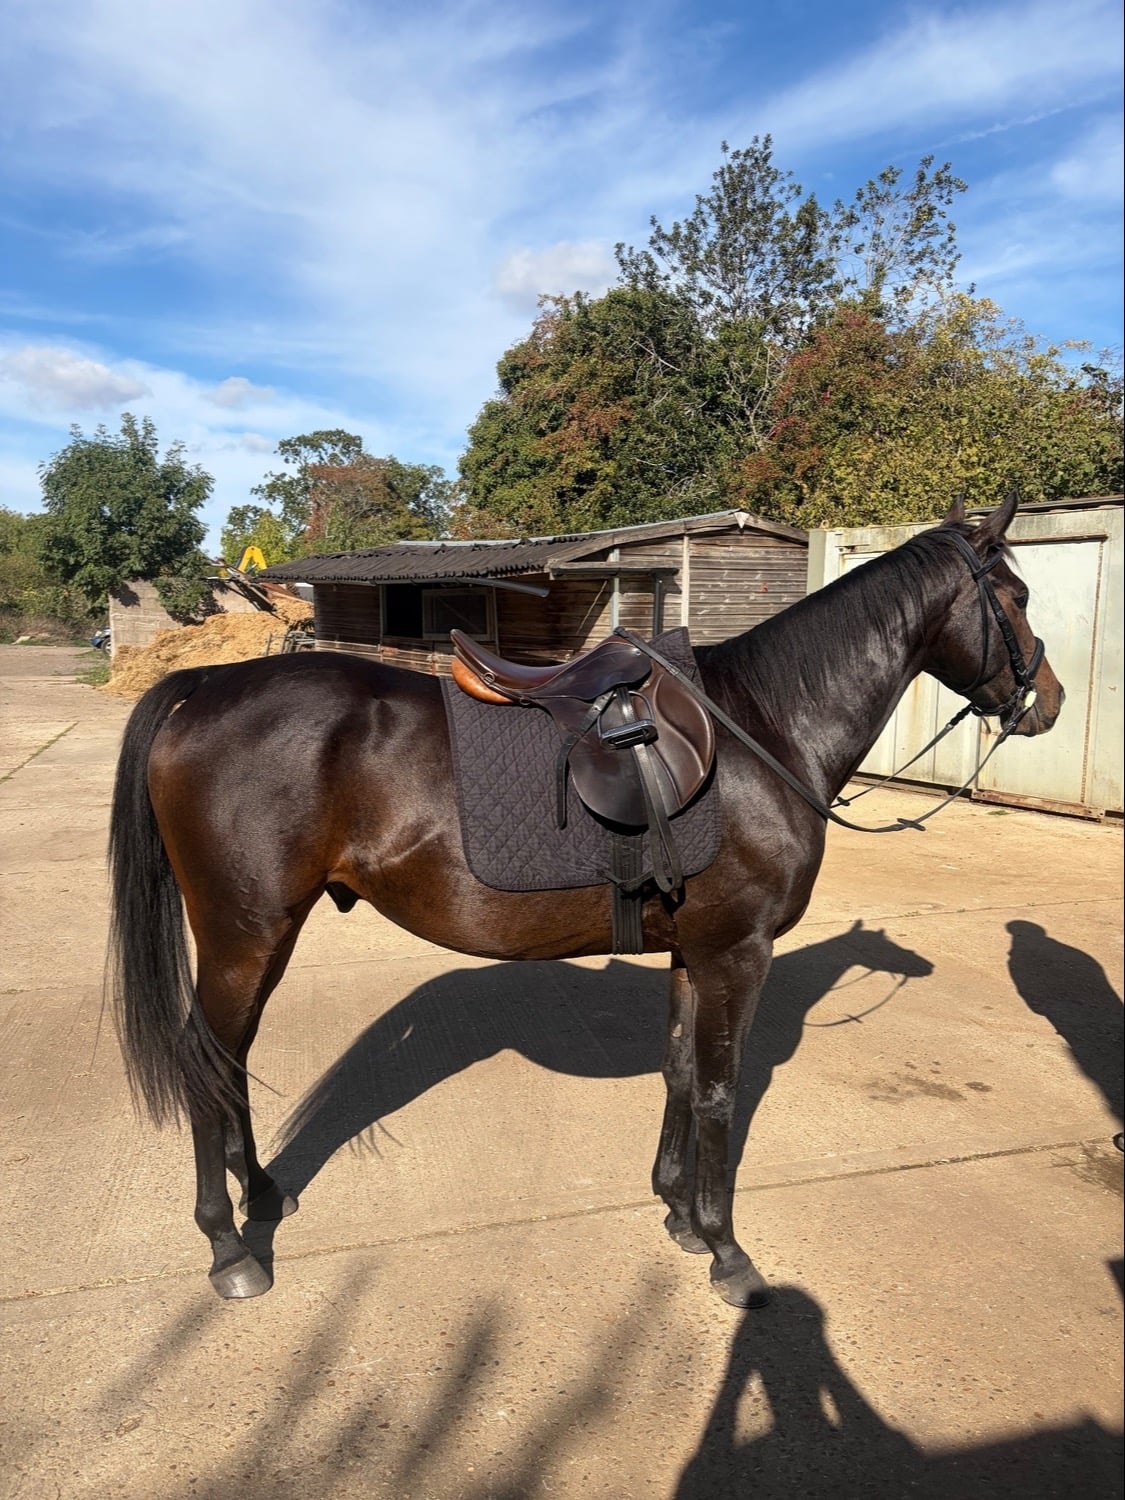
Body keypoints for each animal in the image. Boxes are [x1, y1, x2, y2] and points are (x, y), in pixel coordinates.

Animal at [108, 495, 1062, 1305]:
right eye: (1014, 595)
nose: (1045, 703)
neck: (764, 728)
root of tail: (202, 689)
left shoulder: (694, 953)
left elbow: (679, 1072)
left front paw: (677, 1212)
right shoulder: (738, 953)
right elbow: (719, 1091)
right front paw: (726, 1251)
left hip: (263, 934)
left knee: (227, 1060)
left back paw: (264, 1196)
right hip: (244, 933)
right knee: (204, 1061)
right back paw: (228, 1249)